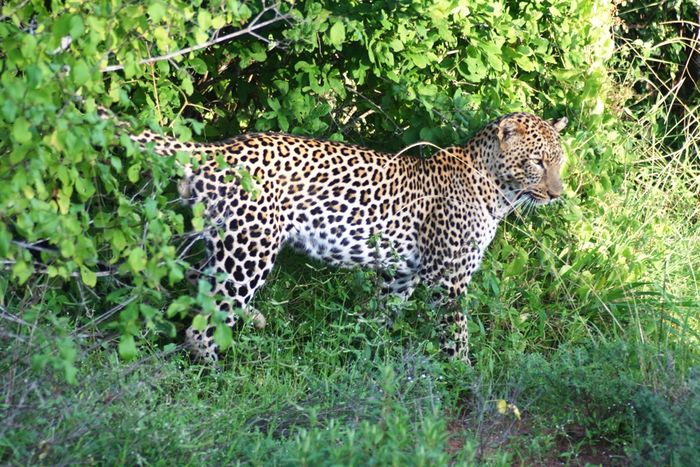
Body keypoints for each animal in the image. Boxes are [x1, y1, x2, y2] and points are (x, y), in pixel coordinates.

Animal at [110, 109, 568, 362]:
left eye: (560, 162)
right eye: (537, 163)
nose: (557, 194)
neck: (497, 189)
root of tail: (217, 149)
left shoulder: (400, 274)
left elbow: (382, 316)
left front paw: (366, 352)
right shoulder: (449, 280)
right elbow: (456, 335)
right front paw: (463, 376)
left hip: (225, 241)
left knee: (196, 281)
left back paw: (251, 321)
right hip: (251, 251)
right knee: (205, 321)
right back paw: (217, 371)